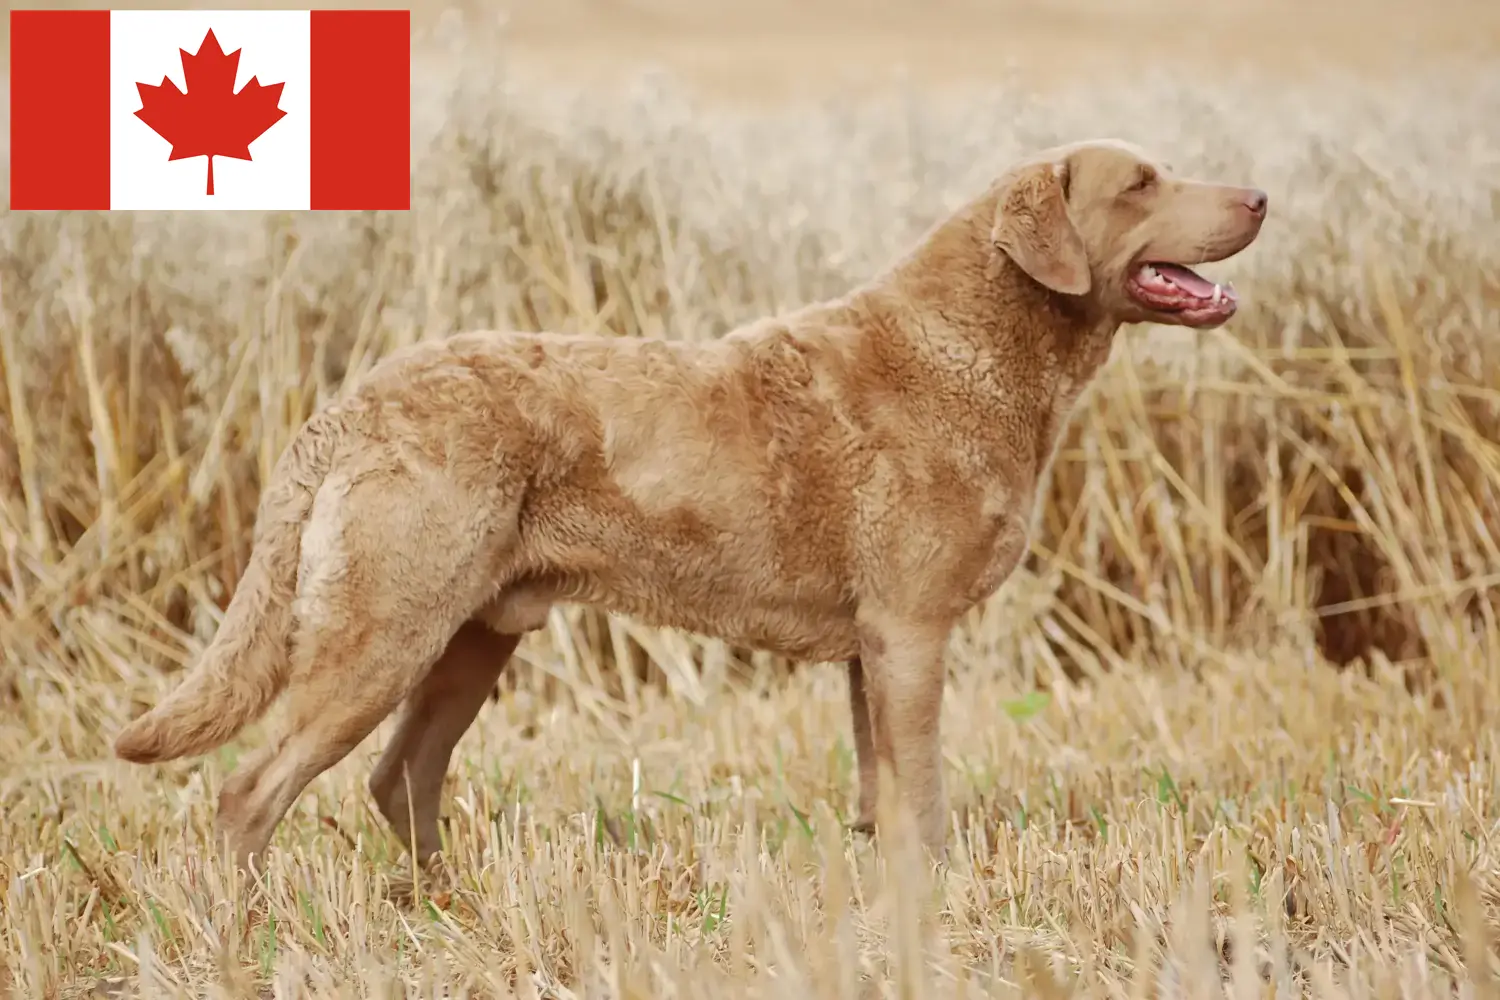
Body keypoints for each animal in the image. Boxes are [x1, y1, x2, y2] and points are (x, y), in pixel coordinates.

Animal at [114, 138, 1266, 869]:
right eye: (1142, 182)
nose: (1259, 198)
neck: (978, 350)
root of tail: (349, 405)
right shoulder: (911, 629)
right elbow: (925, 789)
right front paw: (940, 892)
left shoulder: (872, 647)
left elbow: (879, 788)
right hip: (382, 631)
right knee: (250, 791)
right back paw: (243, 929)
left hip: (470, 635)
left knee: (400, 779)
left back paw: (448, 907)